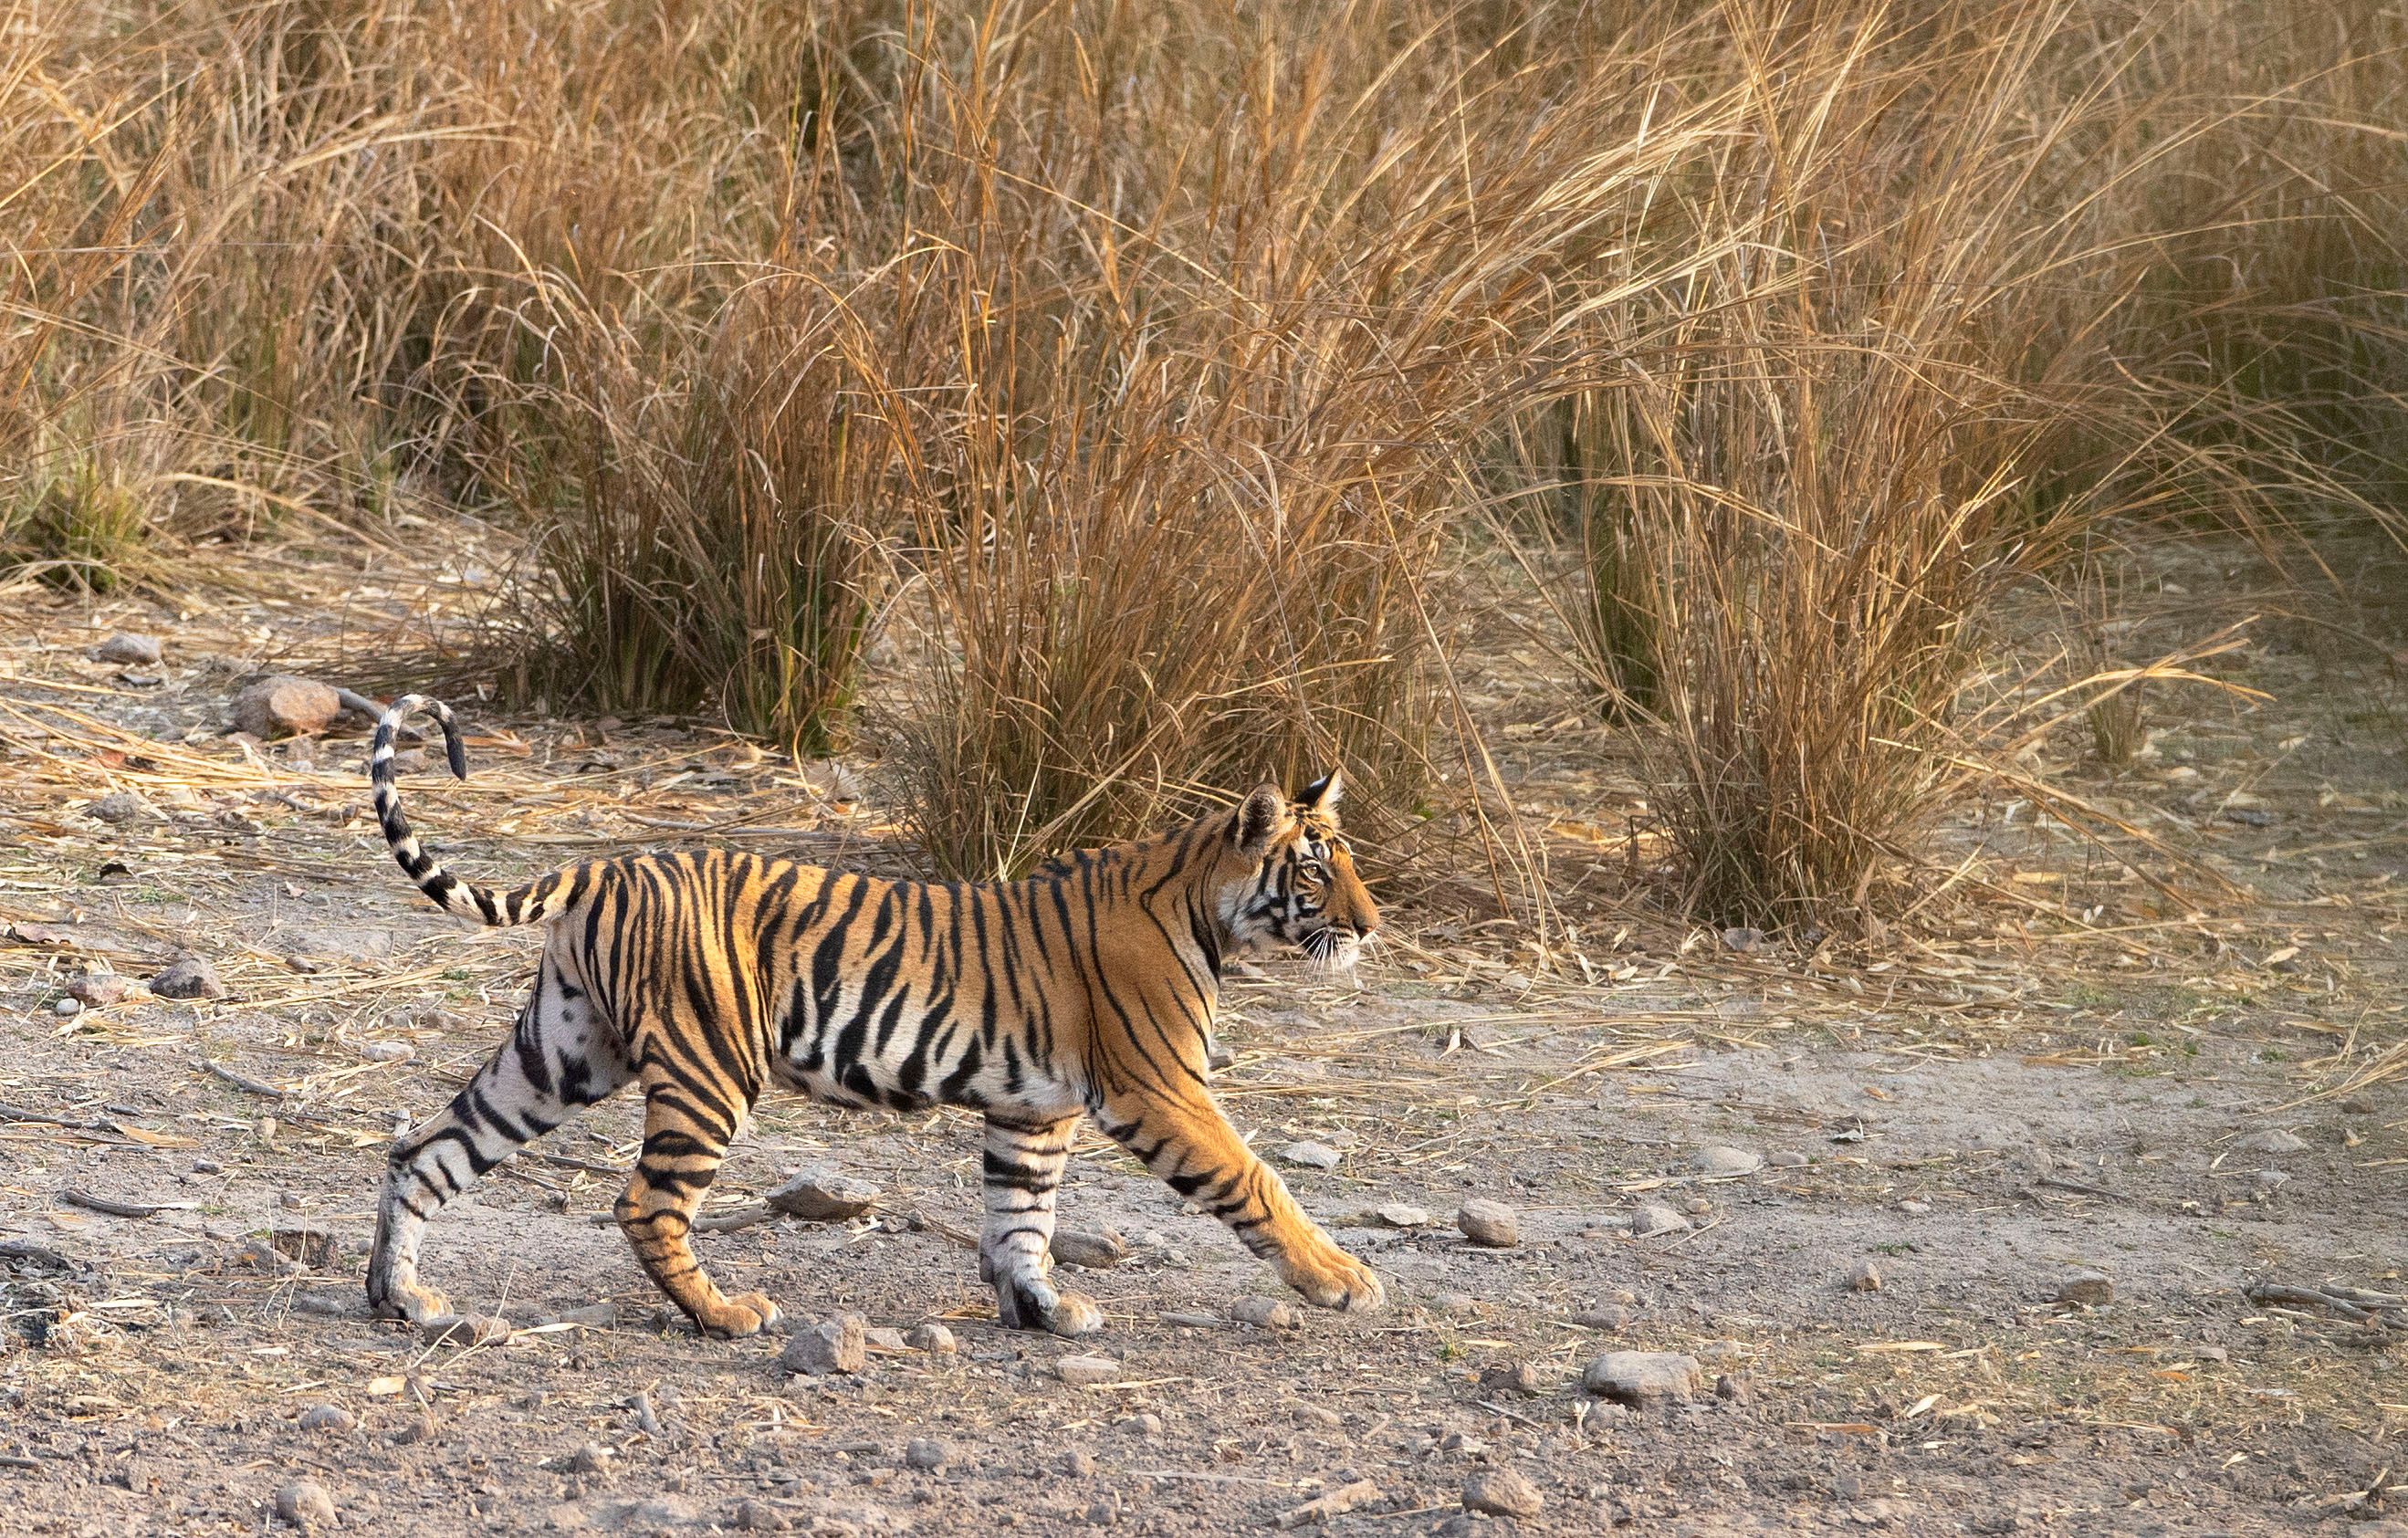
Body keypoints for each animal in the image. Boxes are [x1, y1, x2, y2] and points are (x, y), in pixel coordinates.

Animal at [362, 695, 1386, 1341]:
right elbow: (1256, 1180)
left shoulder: (1035, 1108)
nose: (1373, 924)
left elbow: (1022, 1215)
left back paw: (400, 1296)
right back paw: (727, 1315)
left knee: (424, 1149)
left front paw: (1043, 1308)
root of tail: (605, 867)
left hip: (560, 1053)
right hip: (708, 1068)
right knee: (645, 1203)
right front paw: (1341, 1279)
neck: (1207, 906)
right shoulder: (1161, 1088)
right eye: (1316, 867)